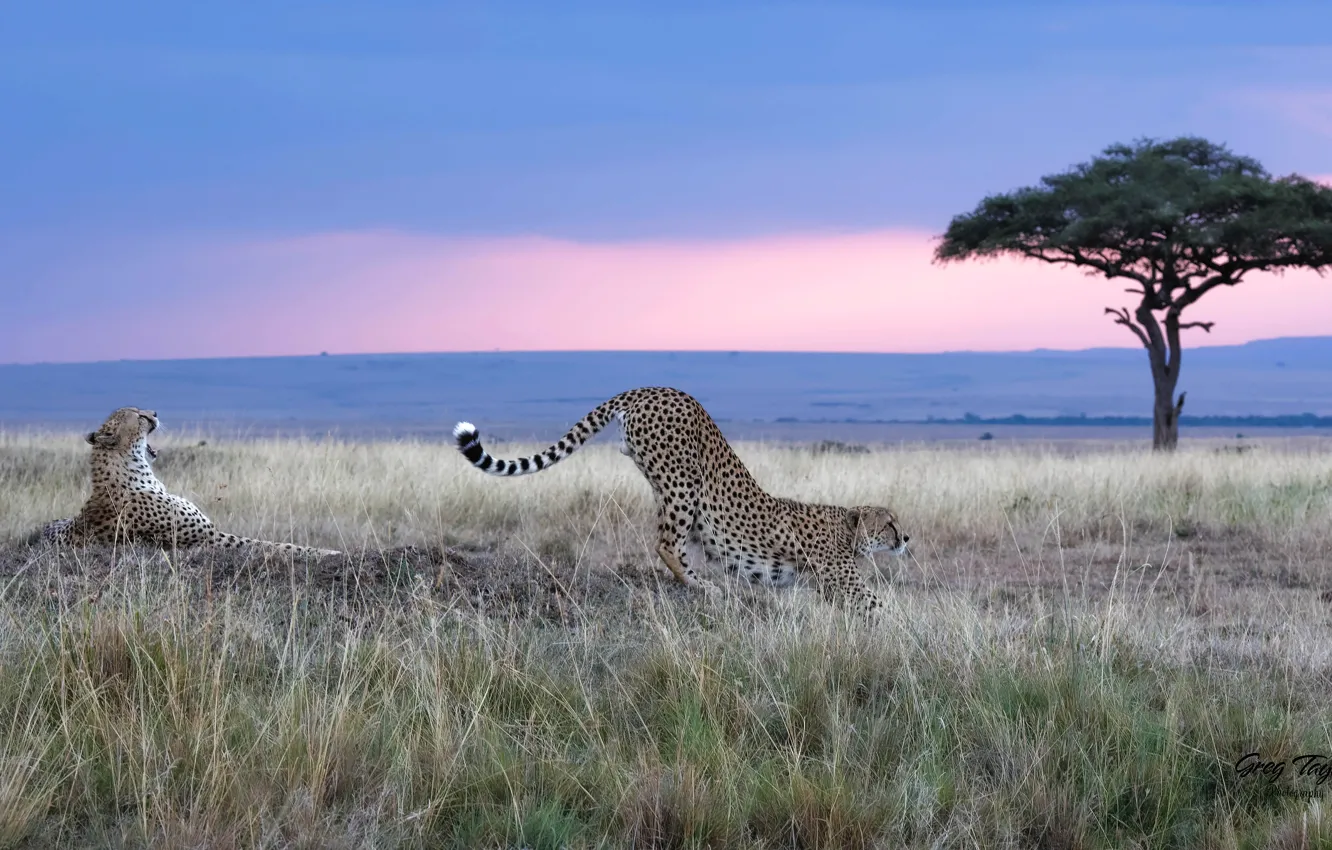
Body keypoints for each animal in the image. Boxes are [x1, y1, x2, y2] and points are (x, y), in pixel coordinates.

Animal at [453, 387, 908, 614]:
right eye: (889, 522)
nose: (906, 538)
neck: (846, 527)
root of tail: (658, 387)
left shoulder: (830, 586)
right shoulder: (841, 581)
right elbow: (880, 608)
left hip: (663, 480)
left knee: (670, 540)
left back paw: (699, 583)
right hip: (682, 481)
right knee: (666, 543)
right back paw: (701, 586)